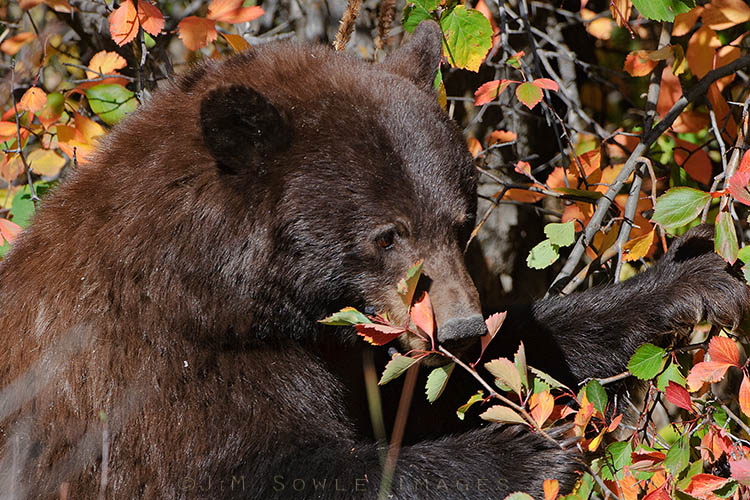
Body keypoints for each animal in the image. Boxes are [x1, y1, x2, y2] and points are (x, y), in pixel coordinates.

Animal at [0, 20, 747, 499]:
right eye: (387, 235)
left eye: (462, 221)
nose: (460, 329)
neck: (212, 287)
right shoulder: (153, 377)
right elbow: (258, 471)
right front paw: (522, 454)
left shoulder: (342, 339)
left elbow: (466, 368)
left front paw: (691, 280)